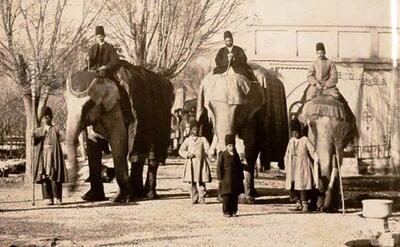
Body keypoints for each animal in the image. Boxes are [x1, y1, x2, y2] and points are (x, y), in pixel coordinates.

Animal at [65, 60, 173, 202]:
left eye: (88, 105)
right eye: (66, 104)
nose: (70, 192)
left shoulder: (117, 108)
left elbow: (118, 142)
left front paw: (119, 199)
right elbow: (93, 144)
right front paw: (89, 197)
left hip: (163, 119)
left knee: (152, 155)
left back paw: (147, 195)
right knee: (138, 156)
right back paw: (137, 195)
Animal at [196, 64, 288, 204]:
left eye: (239, 109)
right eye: (209, 107)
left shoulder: (254, 113)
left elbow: (248, 147)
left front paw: (245, 199)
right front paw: (223, 197)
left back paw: (252, 194)